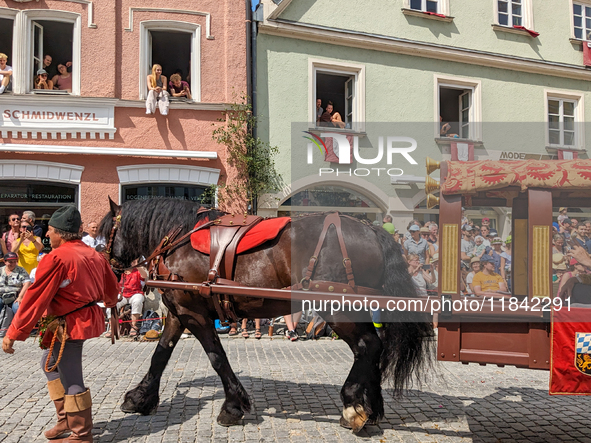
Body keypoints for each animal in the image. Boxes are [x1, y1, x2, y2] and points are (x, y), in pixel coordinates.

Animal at [100, 199, 434, 434]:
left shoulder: (193, 313)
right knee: (374, 347)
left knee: (367, 346)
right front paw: (140, 397)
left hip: (337, 308)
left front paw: (233, 405)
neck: (180, 239)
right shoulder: (179, 311)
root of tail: (372, 229)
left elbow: (216, 357)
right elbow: (161, 354)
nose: (109, 269)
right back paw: (371, 406)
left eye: (104, 236)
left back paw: (354, 403)